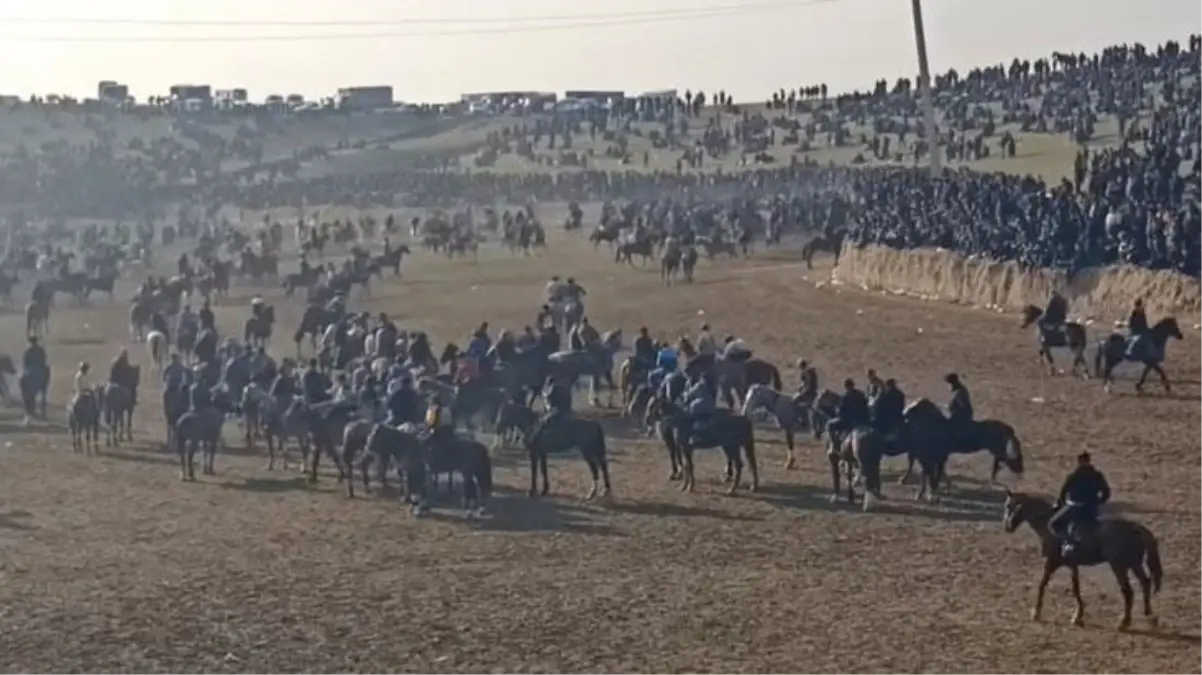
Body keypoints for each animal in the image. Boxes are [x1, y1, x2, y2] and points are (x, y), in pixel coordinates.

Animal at [1004, 485, 1163, 629]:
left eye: (1012, 506)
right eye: (1007, 506)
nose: (1008, 527)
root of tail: (1135, 527)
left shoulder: (1052, 562)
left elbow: (1042, 584)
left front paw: (1036, 613)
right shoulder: (1072, 565)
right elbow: (1076, 588)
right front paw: (1077, 616)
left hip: (1119, 566)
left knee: (1128, 591)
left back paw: (1124, 622)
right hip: (1134, 564)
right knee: (1145, 583)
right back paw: (1150, 617)